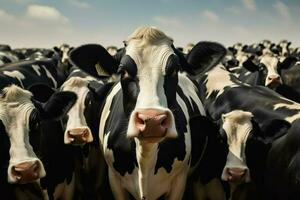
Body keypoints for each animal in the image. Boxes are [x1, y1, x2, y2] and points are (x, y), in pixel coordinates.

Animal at [71, 25, 227, 199]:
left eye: (175, 69)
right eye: (123, 71)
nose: (152, 120)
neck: (146, 156)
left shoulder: (179, 181)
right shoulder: (115, 180)